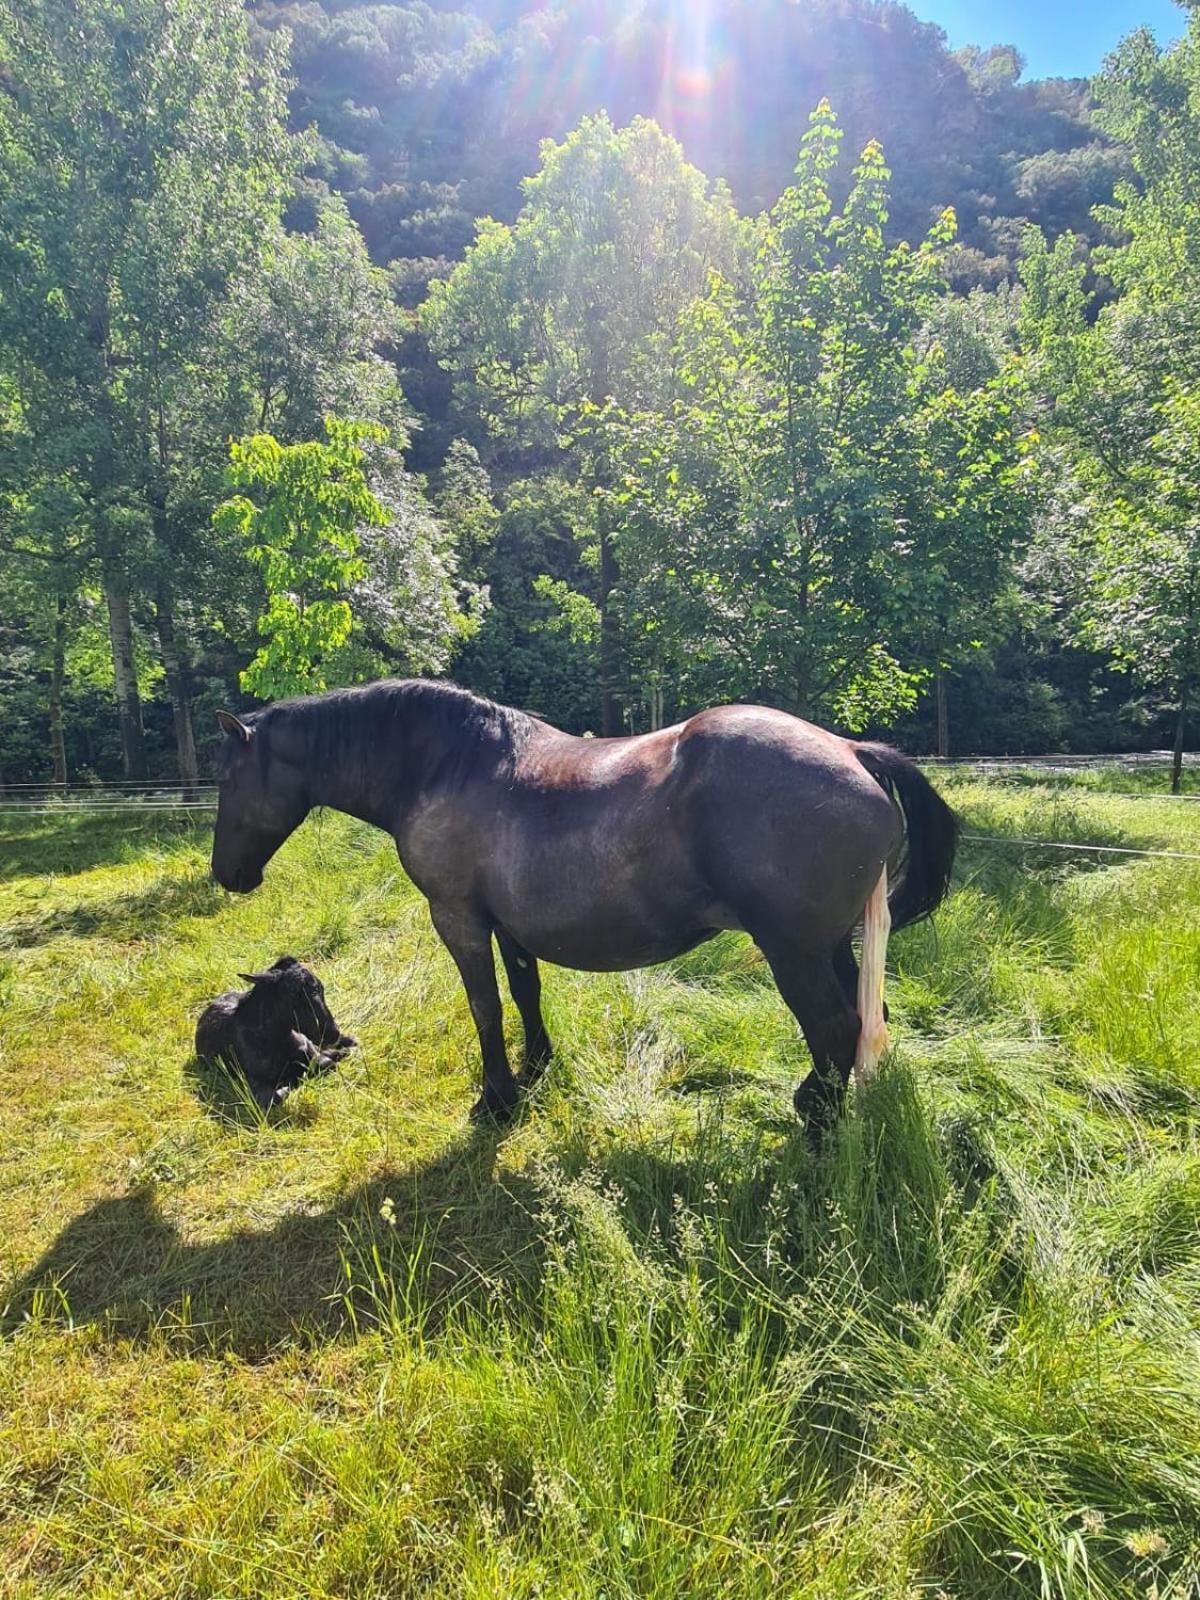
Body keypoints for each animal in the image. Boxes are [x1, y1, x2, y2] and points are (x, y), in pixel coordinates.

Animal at [195, 953, 356, 1107]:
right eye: (292, 996)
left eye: (322, 988)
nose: (332, 1033)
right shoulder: (254, 1083)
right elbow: (278, 1095)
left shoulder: (314, 1056)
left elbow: (327, 1062)